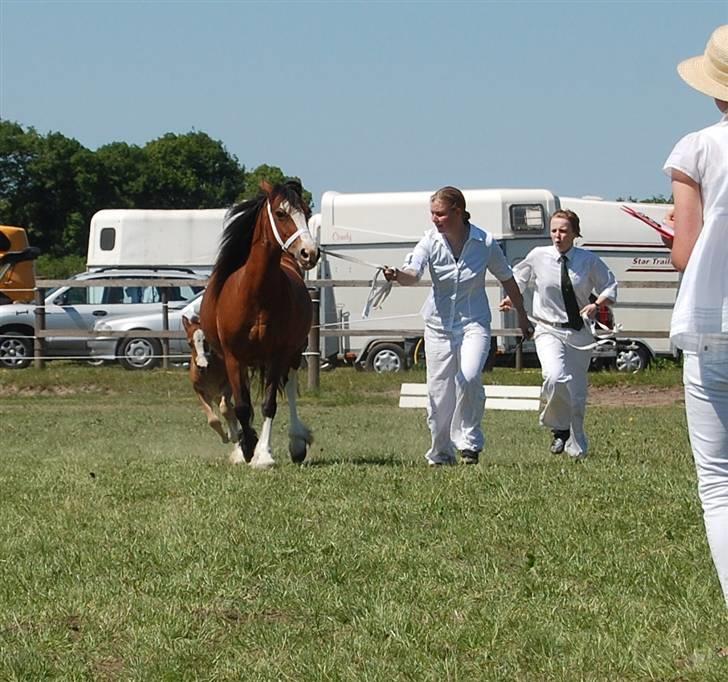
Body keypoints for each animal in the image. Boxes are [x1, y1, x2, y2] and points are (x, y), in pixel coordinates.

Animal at [199, 179, 318, 468]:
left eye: (307, 212)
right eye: (281, 213)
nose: (309, 253)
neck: (254, 293)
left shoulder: (276, 355)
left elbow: (269, 404)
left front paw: (262, 454)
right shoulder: (233, 357)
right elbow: (242, 407)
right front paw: (246, 447)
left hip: (293, 353)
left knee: (290, 384)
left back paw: (297, 442)